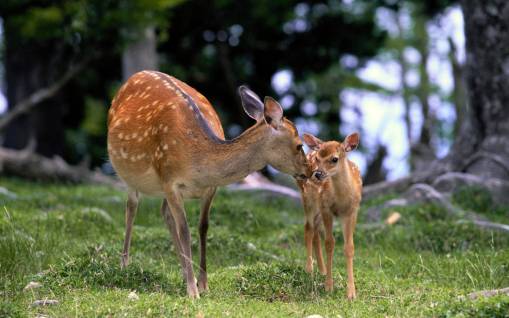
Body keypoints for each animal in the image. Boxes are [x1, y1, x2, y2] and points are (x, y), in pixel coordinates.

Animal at [106, 71, 310, 300]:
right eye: (299, 145)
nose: (310, 171)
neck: (198, 161)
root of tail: (135, 75)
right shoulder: (170, 181)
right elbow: (185, 230)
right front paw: (193, 291)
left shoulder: (210, 189)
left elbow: (203, 227)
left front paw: (202, 284)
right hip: (128, 173)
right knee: (131, 208)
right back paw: (125, 265)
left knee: (164, 212)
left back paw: (185, 272)